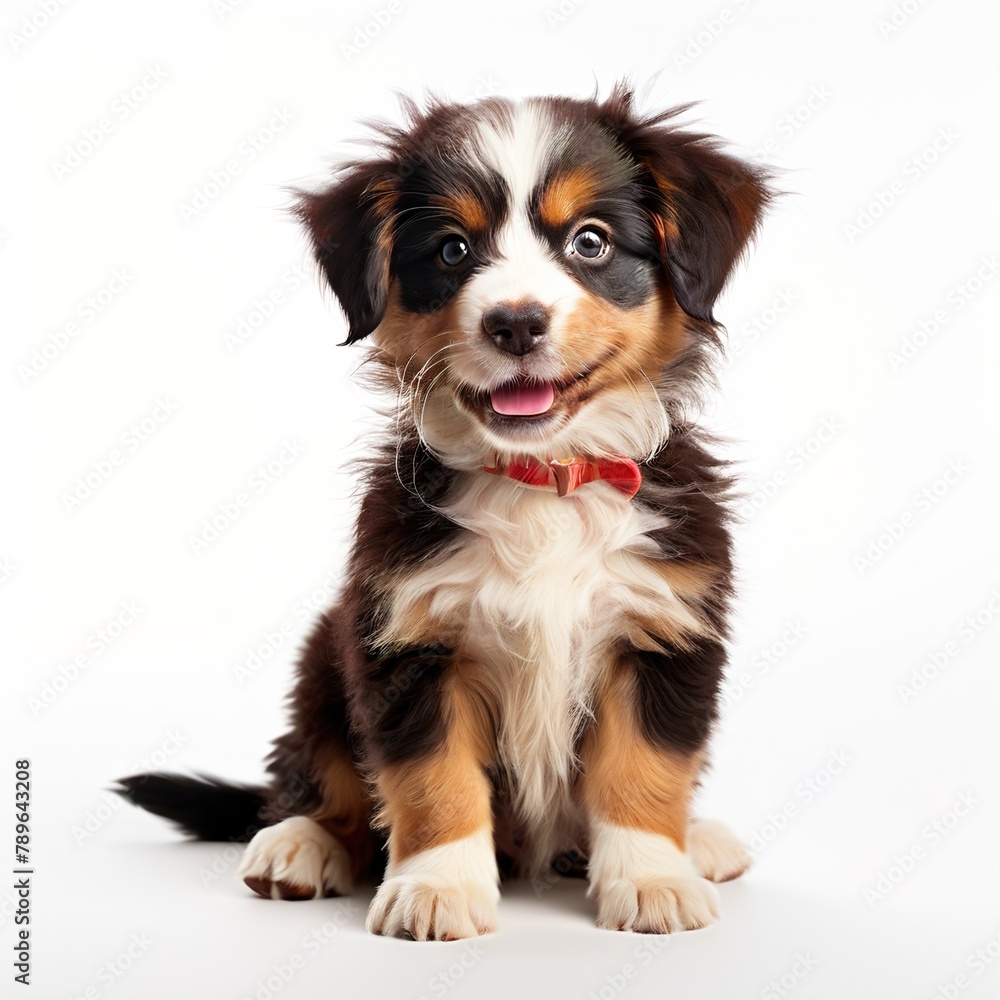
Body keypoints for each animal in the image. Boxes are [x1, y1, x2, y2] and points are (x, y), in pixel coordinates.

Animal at [119, 84, 772, 936]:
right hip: (322, 659)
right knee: (317, 777)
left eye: (590, 243)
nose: (516, 322)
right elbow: (432, 781)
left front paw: (653, 879)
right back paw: (297, 845)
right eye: (454, 251)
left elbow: (645, 769)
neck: (541, 482)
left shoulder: (664, 628)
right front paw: (437, 888)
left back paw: (702, 840)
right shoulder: (408, 639)